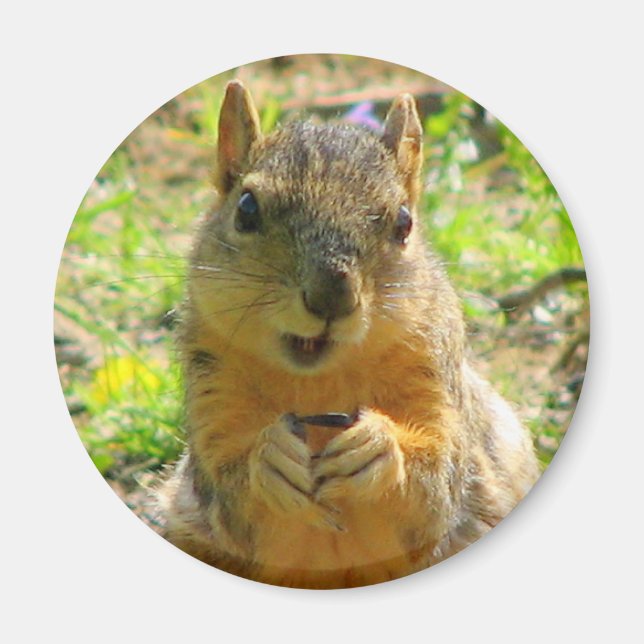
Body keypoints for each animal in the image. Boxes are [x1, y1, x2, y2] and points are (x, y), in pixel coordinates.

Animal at [156, 80, 541, 589]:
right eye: (246, 208)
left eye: (404, 222)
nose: (332, 297)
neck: (319, 379)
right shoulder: (212, 387)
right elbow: (232, 501)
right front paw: (269, 459)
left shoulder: (437, 380)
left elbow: (436, 487)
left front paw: (376, 448)